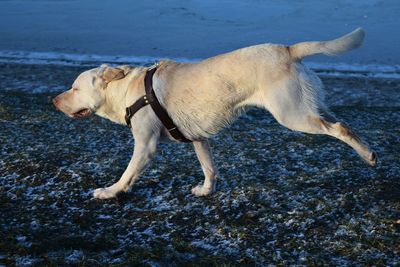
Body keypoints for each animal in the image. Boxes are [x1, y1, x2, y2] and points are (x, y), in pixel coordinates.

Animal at [53, 28, 376, 201]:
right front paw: (207, 190)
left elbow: (127, 174)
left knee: (340, 128)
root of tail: (287, 49)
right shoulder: (198, 138)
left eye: (74, 87)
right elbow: (209, 168)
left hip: (292, 115)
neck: (129, 90)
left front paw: (110, 192)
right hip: (309, 106)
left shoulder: (145, 145)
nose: (53, 100)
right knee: (341, 121)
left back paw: (367, 155)